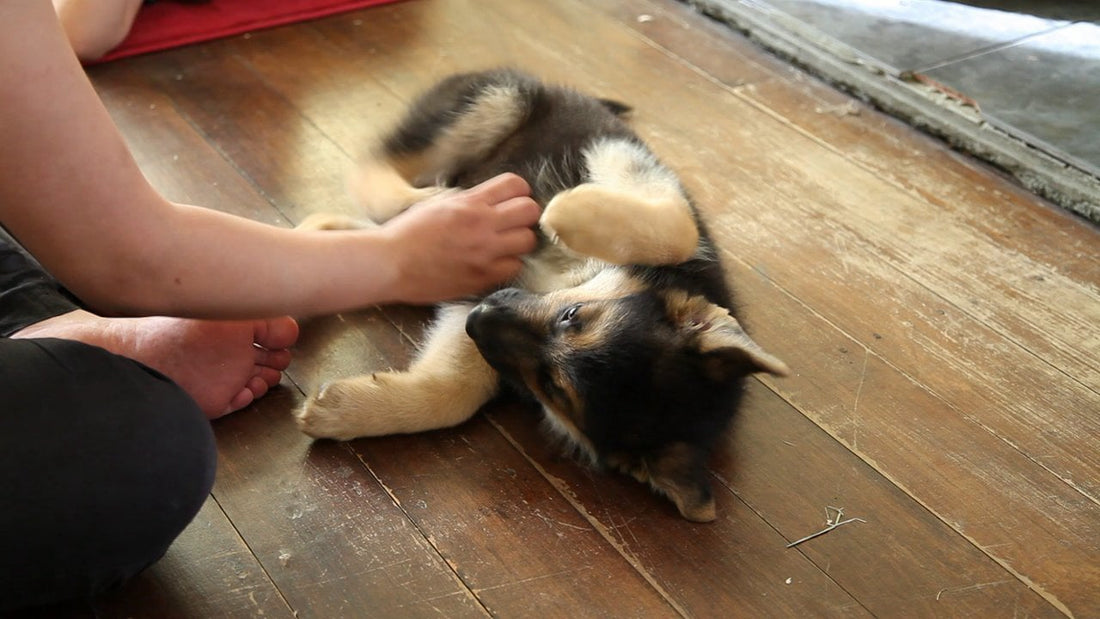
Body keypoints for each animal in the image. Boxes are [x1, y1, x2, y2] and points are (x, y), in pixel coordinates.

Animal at [297, 67, 787, 523]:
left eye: (552, 389)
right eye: (574, 314)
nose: (481, 315)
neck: (567, 277)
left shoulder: (483, 308)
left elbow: (456, 391)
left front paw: (346, 411)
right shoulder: (630, 162)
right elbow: (675, 230)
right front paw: (568, 210)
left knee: (373, 230)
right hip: (498, 100)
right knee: (375, 172)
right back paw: (428, 197)